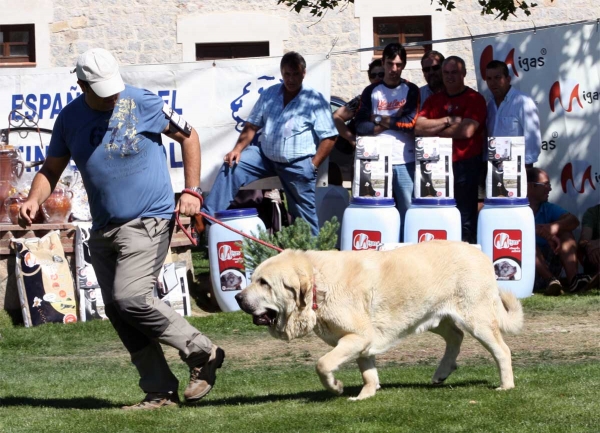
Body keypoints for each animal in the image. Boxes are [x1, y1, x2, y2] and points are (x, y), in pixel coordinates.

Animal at [232, 240, 524, 398]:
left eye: (263, 283)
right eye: (253, 278)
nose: (237, 298)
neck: (317, 285)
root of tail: (481, 254)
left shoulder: (356, 338)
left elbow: (322, 365)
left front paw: (336, 387)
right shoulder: (361, 342)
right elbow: (367, 371)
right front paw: (366, 394)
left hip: (477, 319)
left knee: (502, 350)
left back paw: (507, 385)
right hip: (434, 317)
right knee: (455, 337)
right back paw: (442, 372)